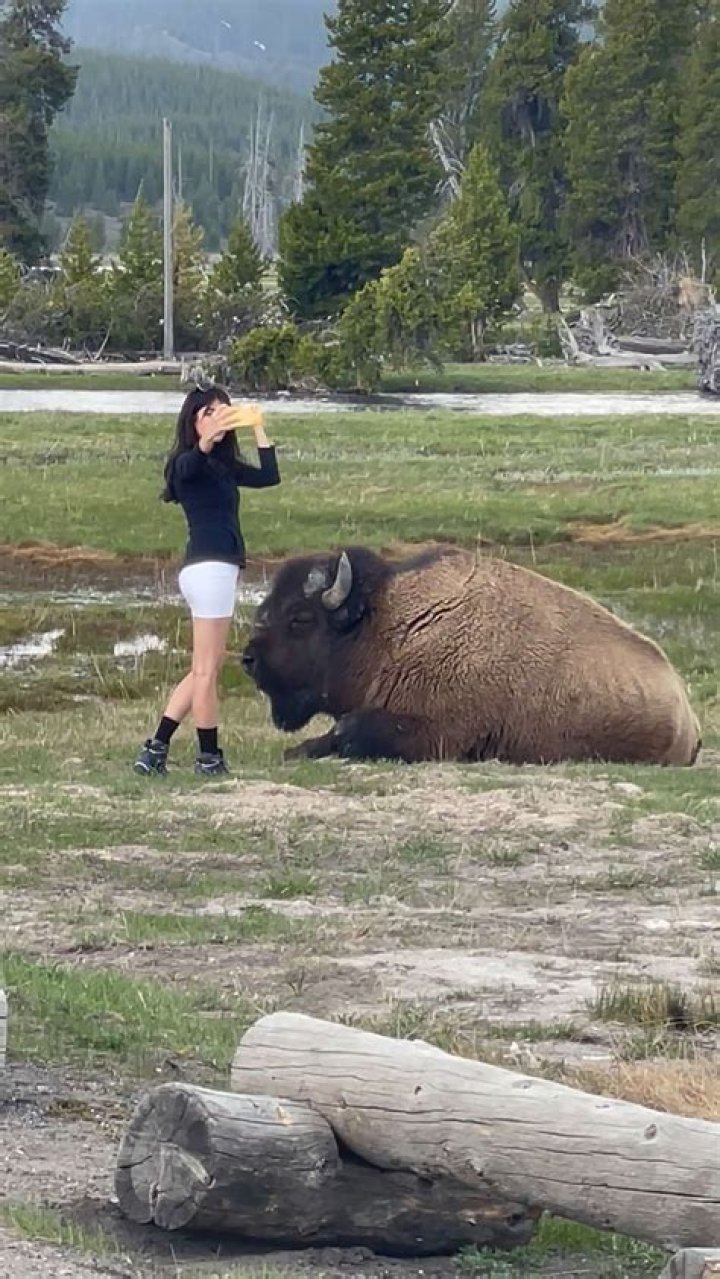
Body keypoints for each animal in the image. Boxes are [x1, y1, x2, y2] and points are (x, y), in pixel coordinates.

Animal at [242, 545, 702, 767]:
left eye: (300, 618)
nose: (248, 660)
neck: (388, 626)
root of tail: (686, 710)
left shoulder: (438, 732)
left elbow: (349, 729)